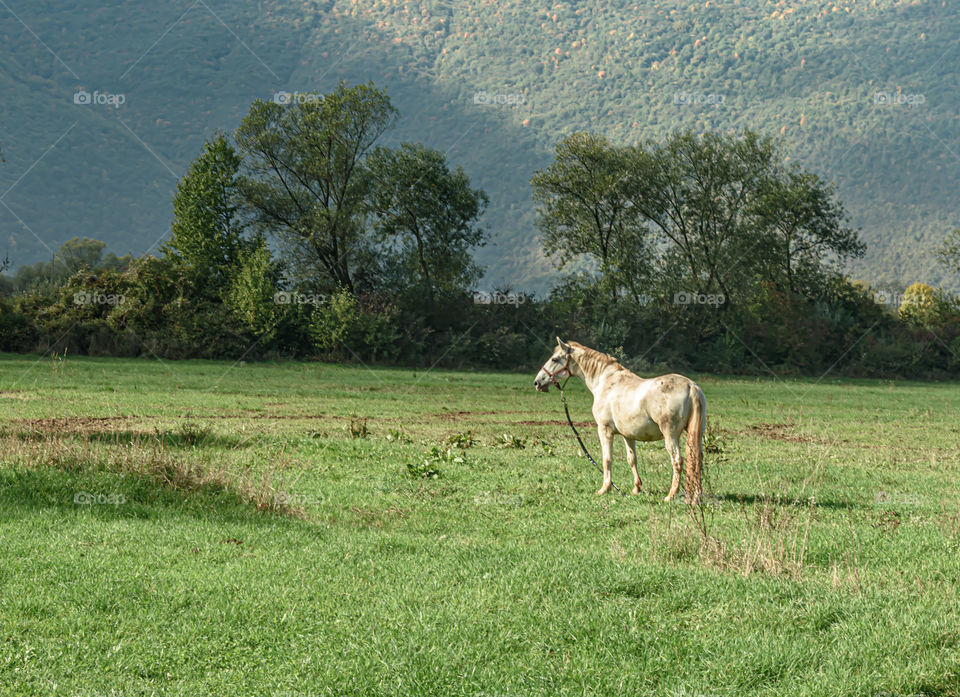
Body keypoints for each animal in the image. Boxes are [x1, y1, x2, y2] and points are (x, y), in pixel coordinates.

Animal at [534, 338, 706, 503]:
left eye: (555, 359)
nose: (537, 382)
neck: (606, 382)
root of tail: (691, 386)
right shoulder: (628, 435)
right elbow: (632, 459)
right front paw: (636, 488)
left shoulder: (604, 430)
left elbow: (607, 459)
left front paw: (605, 488)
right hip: (696, 435)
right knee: (697, 459)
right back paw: (696, 496)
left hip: (670, 436)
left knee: (677, 460)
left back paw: (671, 495)